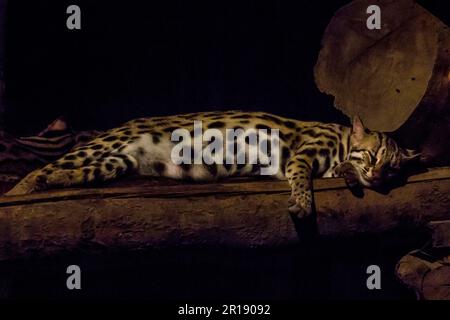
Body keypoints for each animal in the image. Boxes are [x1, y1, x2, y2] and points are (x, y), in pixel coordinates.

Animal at [4, 110, 418, 218]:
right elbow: (302, 179)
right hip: (105, 147)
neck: (344, 139)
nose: (378, 175)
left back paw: (53, 182)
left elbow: (342, 171)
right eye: (373, 156)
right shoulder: (302, 155)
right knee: (36, 170)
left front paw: (352, 178)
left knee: (64, 173)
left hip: (115, 163)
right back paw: (16, 195)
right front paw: (302, 204)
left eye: (393, 167)